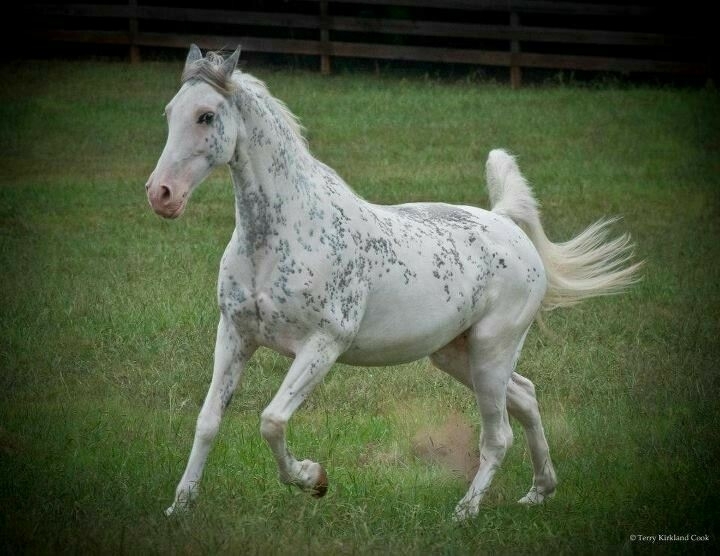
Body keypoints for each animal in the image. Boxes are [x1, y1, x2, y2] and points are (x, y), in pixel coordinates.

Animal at [145, 45, 640, 520]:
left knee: (499, 434)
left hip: (490, 352)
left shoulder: (323, 344)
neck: (281, 237)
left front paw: (314, 479)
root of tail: (506, 223)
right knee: (526, 396)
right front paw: (179, 506)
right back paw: (539, 492)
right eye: (169, 112)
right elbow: (208, 421)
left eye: (206, 116)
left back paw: (465, 512)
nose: (161, 195)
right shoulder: (235, 334)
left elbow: (271, 420)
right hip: (456, 355)